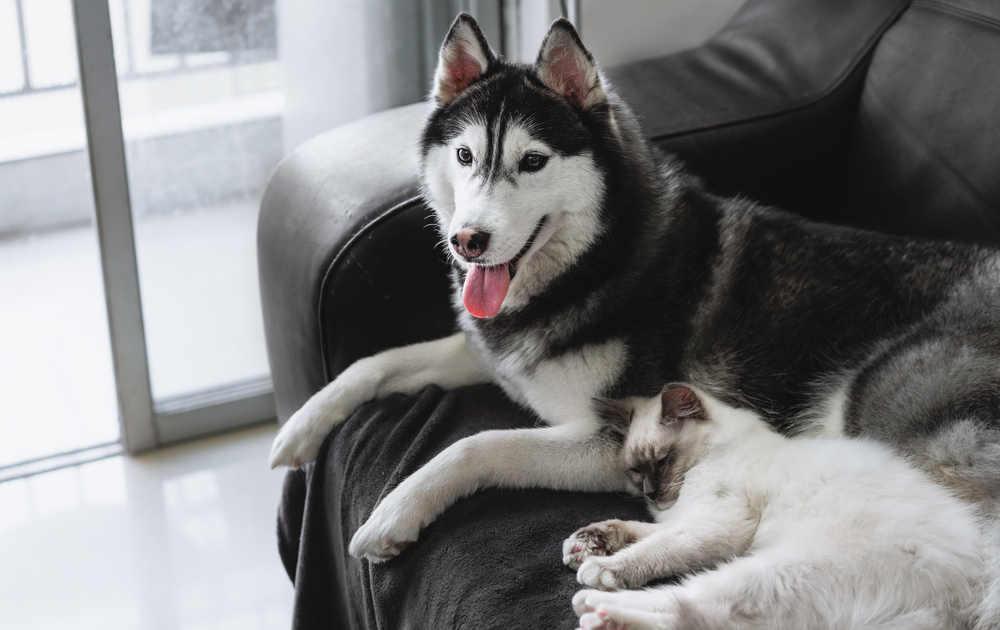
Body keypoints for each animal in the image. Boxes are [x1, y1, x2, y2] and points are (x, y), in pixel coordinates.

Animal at [564, 386, 984, 630]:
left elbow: (653, 549)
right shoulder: (687, 519)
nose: (651, 494)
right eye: (636, 470)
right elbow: (635, 530)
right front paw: (584, 545)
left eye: (663, 460)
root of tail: (969, 600)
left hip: (775, 569)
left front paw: (600, 566)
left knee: (691, 603)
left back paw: (596, 608)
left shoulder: (717, 523)